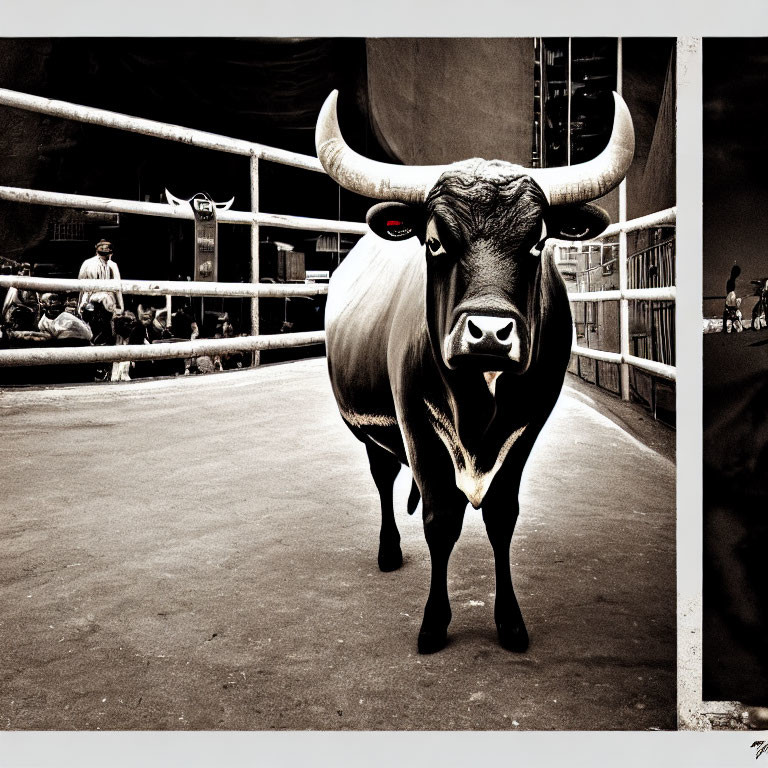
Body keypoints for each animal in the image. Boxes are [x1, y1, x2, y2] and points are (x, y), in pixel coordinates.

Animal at [316, 91, 632, 656]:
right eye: (435, 241)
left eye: (538, 241)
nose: (489, 333)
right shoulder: (415, 423)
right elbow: (441, 519)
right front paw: (434, 622)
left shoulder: (528, 425)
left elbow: (502, 515)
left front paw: (510, 621)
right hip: (374, 433)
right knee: (383, 477)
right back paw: (389, 550)